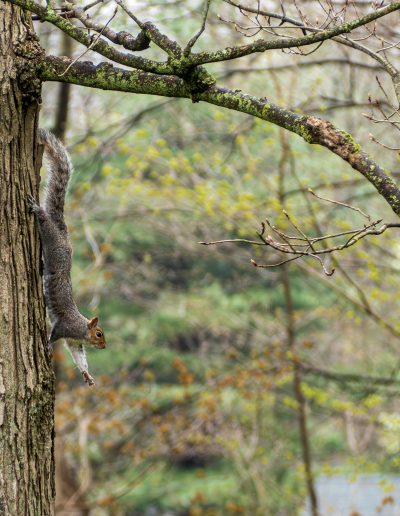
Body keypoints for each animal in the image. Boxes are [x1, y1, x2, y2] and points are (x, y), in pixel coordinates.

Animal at [28, 129, 106, 388]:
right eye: (99, 333)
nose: (104, 346)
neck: (81, 328)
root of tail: (63, 231)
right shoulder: (64, 328)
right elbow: (53, 336)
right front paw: (47, 348)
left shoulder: (75, 344)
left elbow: (78, 358)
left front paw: (87, 375)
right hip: (52, 240)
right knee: (44, 221)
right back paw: (37, 209)